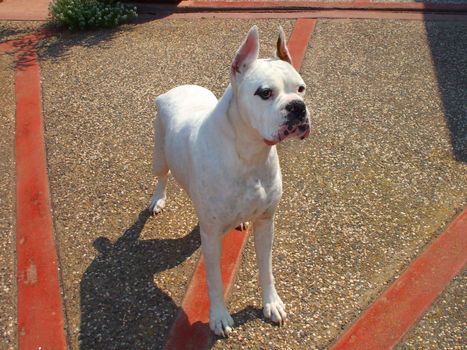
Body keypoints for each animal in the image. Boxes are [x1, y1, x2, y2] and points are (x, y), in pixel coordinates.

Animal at [150, 25, 310, 336]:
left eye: (301, 88)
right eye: (265, 93)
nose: (298, 107)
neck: (249, 153)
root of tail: (178, 88)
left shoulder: (266, 222)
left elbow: (266, 268)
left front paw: (271, 303)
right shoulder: (211, 236)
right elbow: (213, 281)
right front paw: (219, 317)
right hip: (160, 154)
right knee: (162, 177)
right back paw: (157, 200)